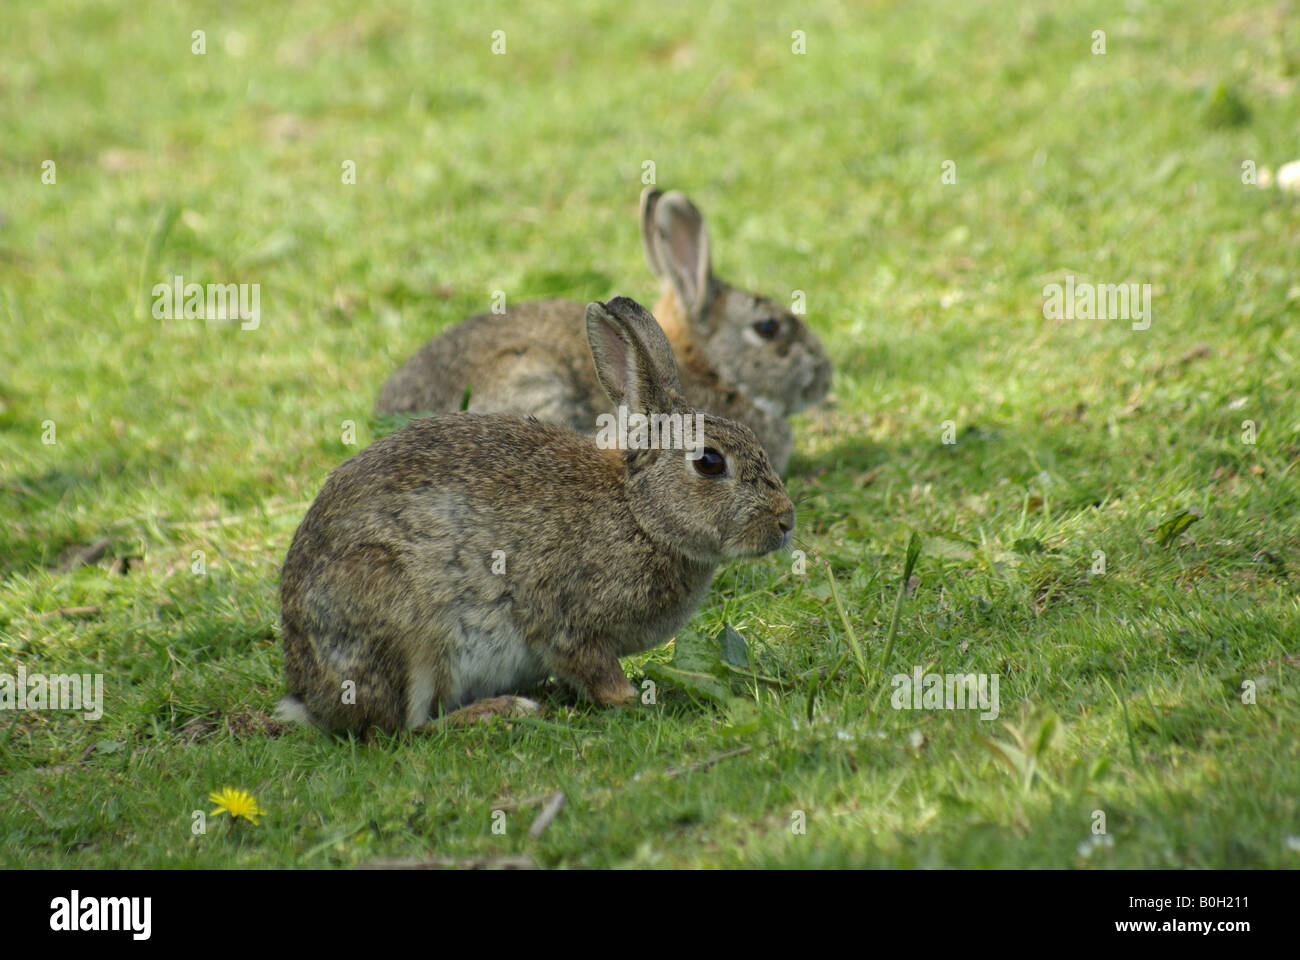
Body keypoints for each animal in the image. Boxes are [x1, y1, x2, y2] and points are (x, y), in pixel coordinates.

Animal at [281, 296, 796, 736]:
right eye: (710, 462)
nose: (785, 521)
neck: (640, 515)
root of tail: (309, 693)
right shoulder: (572, 623)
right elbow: (596, 671)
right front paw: (633, 698)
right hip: (401, 626)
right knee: (406, 728)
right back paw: (503, 710)